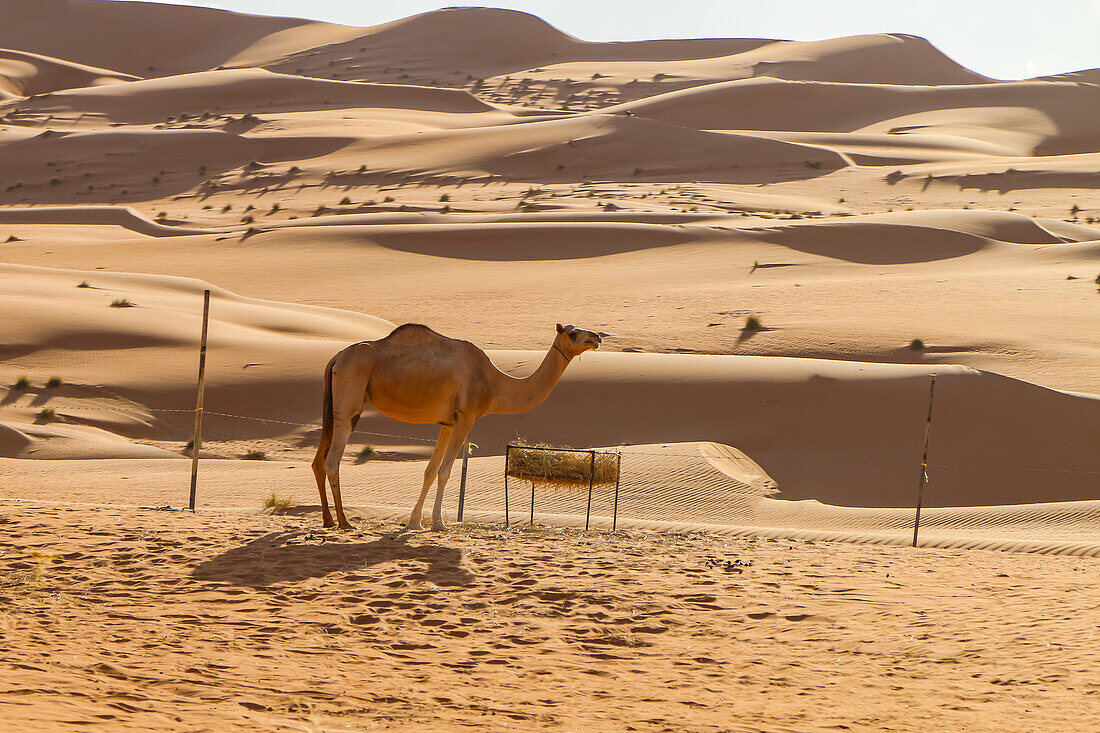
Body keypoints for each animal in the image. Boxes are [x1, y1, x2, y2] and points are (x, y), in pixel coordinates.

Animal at [310, 323, 602, 528]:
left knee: (318, 460)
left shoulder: (447, 422)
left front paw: (414, 523)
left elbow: (430, 470)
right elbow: (445, 471)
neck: (495, 384)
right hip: (350, 401)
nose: (597, 337)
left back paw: (328, 519)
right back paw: (345, 522)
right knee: (332, 460)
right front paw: (438, 523)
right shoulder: (466, 417)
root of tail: (336, 358)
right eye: (573, 334)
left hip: (332, 406)